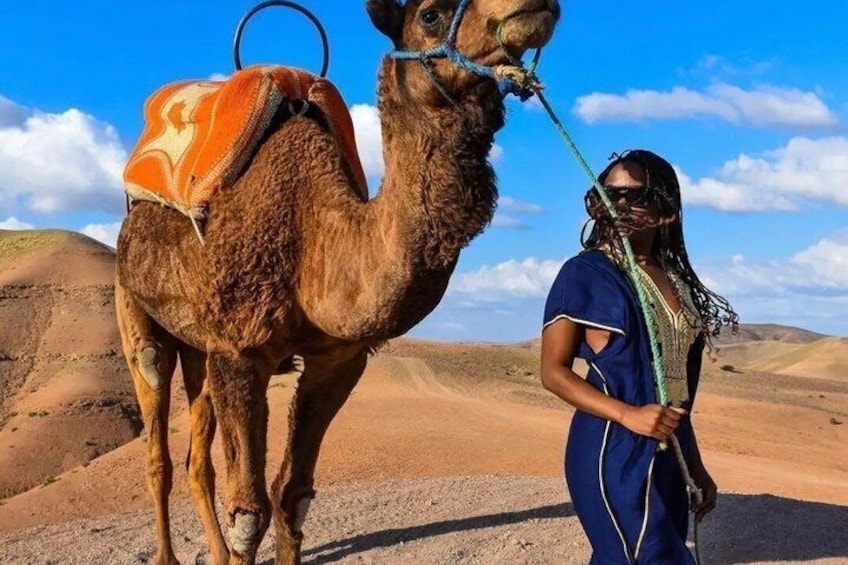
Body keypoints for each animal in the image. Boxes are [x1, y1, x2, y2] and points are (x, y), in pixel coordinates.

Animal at [114, 1, 560, 564]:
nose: (534, 7)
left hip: (197, 340)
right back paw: (169, 554)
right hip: (133, 303)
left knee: (199, 456)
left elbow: (292, 496)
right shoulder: (240, 352)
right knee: (157, 432)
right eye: (430, 15)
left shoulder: (338, 359)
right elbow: (249, 515)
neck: (314, 239)